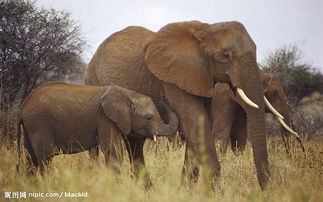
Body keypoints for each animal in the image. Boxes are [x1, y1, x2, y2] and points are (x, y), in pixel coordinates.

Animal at [16, 82, 178, 175]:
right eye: (149, 117)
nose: (163, 96)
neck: (128, 94)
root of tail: (23, 106)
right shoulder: (105, 119)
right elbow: (113, 152)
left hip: (32, 126)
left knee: (30, 159)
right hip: (40, 123)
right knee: (45, 158)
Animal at [85, 20, 270, 189]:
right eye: (226, 55)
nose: (265, 190)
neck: (205, 29)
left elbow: (198, 128)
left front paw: (186, 191)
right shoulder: (171, 79)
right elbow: (197, 123)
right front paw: (215, 193)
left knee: (134, 144)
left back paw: (146, 190)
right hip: (93, 84)